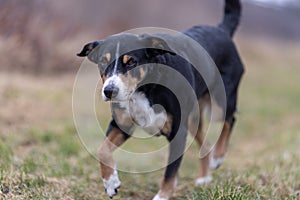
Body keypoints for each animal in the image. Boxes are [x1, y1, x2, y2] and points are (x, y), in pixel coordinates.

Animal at [77, 0, 244, 199]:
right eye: (103, 61)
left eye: (131, 62)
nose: (109, 91)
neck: (146, 88)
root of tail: (221, 29)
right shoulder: (122, 125)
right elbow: (102, 150)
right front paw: (111, 183)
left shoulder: (178, 132)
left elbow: (170, 172)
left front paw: (162, 195)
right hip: (193, 119)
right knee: (205, 142)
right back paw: (204, 177)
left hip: (220, 101)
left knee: (229, 120)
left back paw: (218, 157)